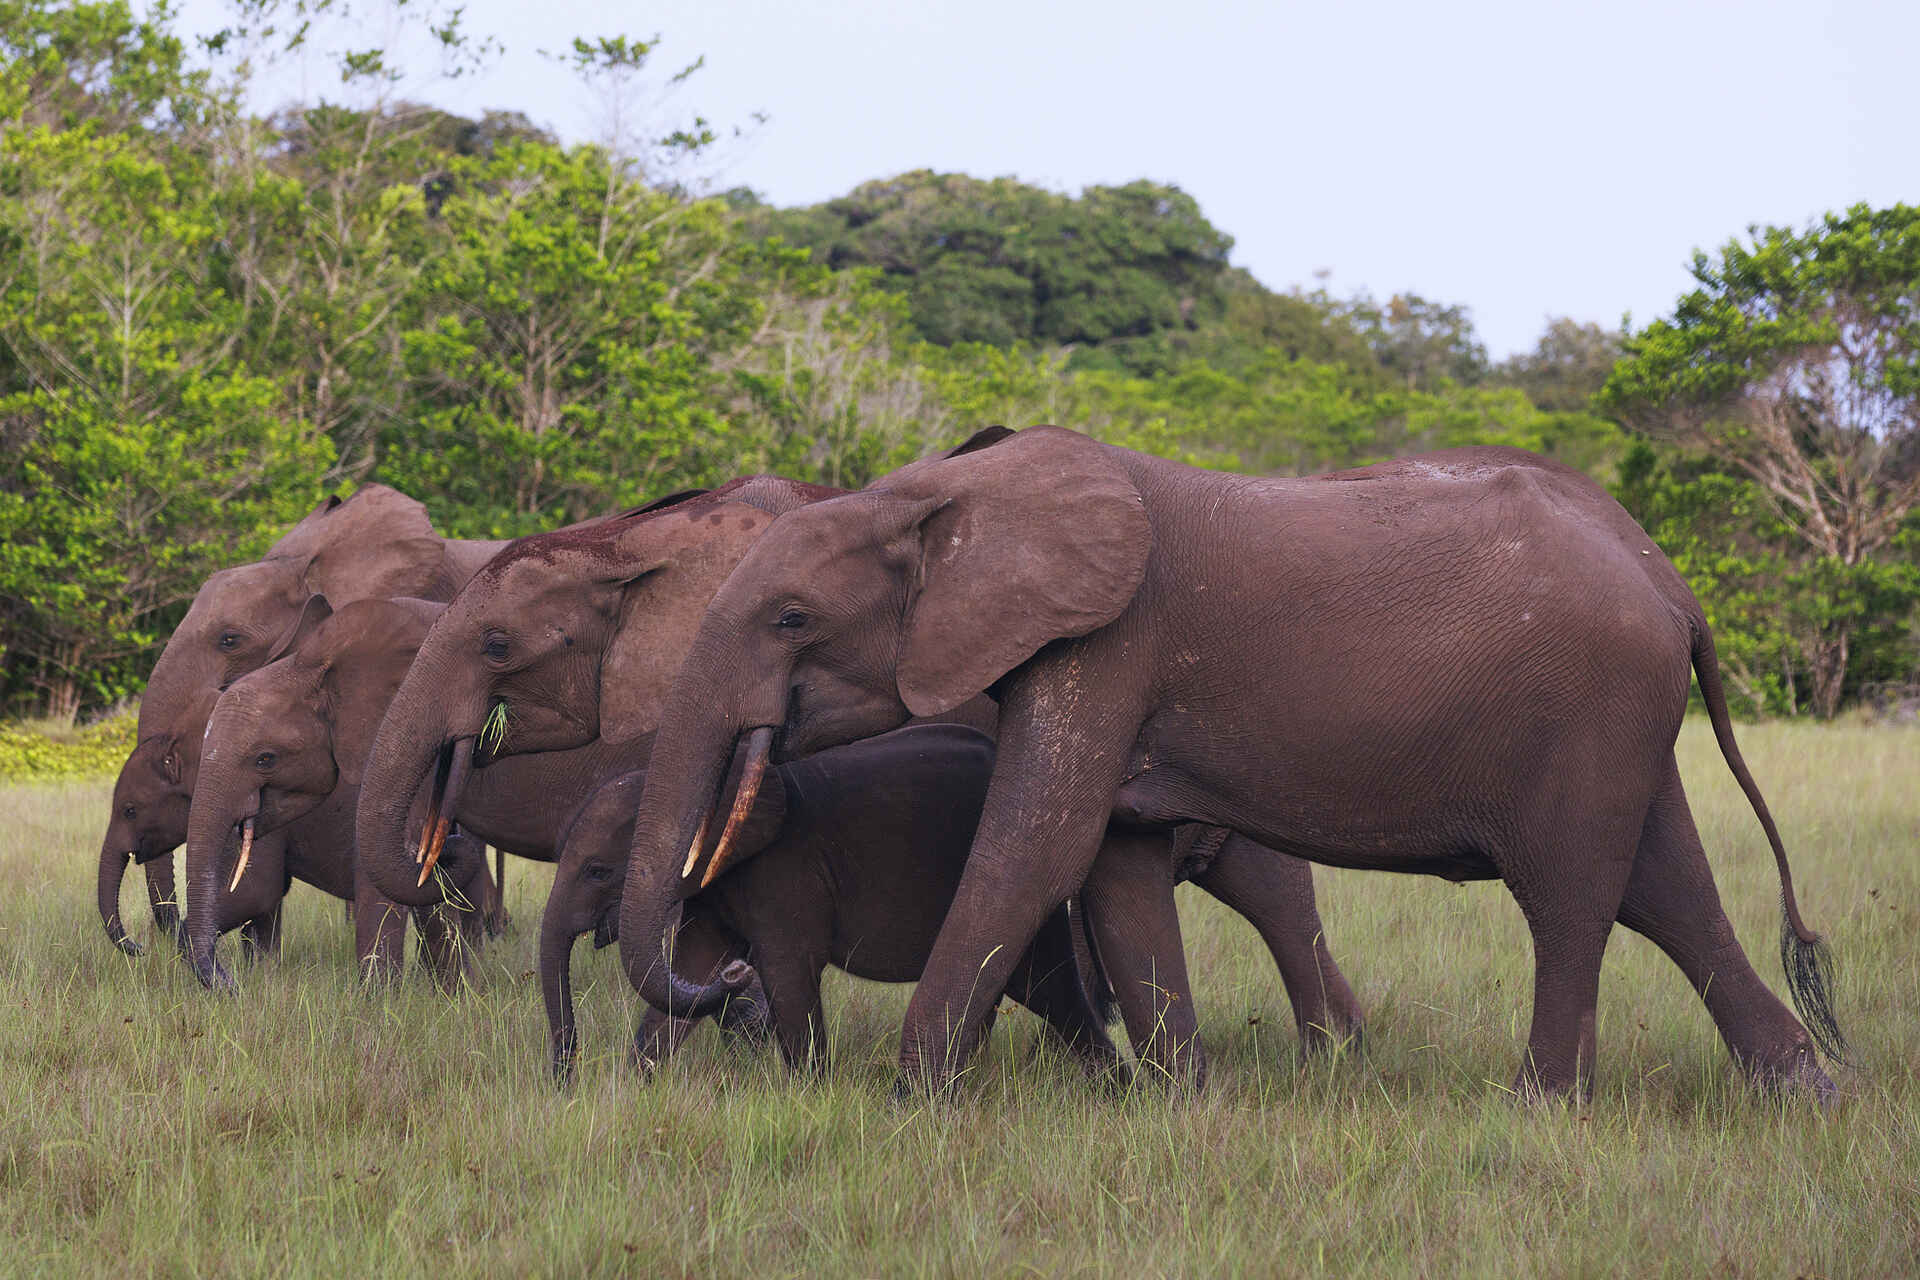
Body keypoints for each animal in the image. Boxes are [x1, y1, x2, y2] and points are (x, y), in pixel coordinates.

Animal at [542, 726, 1120, 1083]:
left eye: (598, 871)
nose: (566, 1079)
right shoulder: (714, 890)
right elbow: (688, 974)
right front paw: (641, 1086)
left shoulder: (784, 880)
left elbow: (788, 977)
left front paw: (809, 1096)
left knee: (1055, 992)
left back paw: (1115, 1092)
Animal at [619, 426, 1844, 1102]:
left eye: (789, 619)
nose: (728, 981)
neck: (944, 493)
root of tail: (1674, 585)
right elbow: (1115, 866)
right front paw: (1182, 1104)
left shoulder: (1107, 645)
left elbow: (1032, 851)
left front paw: (909, 1104)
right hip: (1621, 718)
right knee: (1668, 890)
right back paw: (1809, 1097)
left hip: (1590, 706)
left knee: (1573, 899)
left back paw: (1542, 1110)